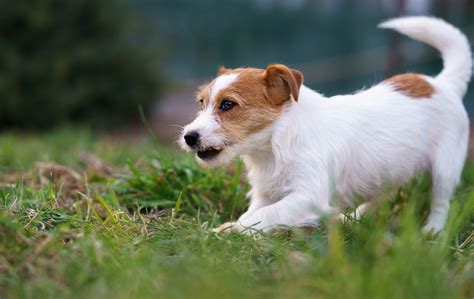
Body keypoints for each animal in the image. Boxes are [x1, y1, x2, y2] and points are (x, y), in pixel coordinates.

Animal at [180, 16, 472, 234]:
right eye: (201, 102)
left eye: (228, 105)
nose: (188, 137)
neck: (275, 145)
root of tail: (441, 83)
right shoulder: (265, 193)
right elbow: (254, 212)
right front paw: (225, 229)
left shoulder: (309, 196)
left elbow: (266, 215)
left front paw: (236, 231)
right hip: (389, 170)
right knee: (381, 196)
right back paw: (354, 219)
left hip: (445, 168)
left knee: (440, 202)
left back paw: (432, 232)